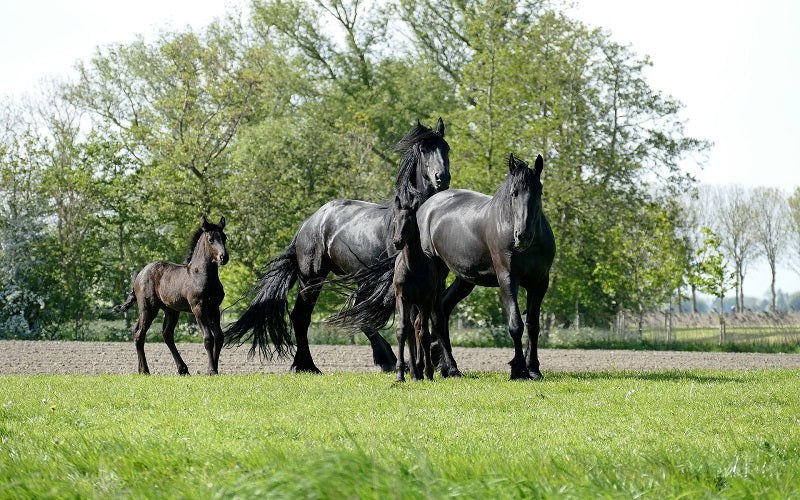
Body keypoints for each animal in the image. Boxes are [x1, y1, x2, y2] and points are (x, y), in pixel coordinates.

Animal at [113, 216, 230, 375]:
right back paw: (145, 370)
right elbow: (208, 338)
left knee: (165, 334)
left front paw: (214, 369)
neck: (201, 275)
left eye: (224, 237)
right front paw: (211, 370)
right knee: (139, 334)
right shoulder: (198, 308)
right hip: (148, 308)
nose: (224, 257)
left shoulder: (214, 308)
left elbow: (219, 337)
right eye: (211, 239)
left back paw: (181, 369)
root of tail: (139, 274)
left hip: (171, 311)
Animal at [223, 119, 451, 373]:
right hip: (311, 277)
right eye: (423, 150)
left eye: (446, 148)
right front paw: (417, 365)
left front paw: (445, 366)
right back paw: (309, 366)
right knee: (302, 317)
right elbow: (410, 320)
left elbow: (437, 319)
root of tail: (307, 224)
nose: (442, 178)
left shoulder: (434, 282)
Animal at [330, 154, 555, 380]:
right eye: (513, 193)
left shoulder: (540, 282)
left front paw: (533, 369)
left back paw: (441, 366)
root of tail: (426, 207)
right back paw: (430, 367)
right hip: (435, 278)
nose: (522, 236)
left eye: (539, 192)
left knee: (441, 313)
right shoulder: (507, 279)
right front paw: (519, 370)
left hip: (463, 281)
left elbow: (533, 325)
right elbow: (516, 324)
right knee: (425, 320)